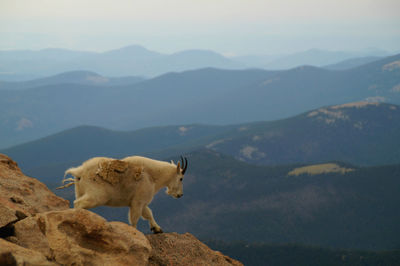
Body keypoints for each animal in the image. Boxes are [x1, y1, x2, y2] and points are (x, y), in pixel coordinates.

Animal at [57, 155, 188, 234]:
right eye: (181, 178)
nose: (180, 195)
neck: (153, 176)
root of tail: (79, 172)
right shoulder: (138, 201)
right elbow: (134, 218)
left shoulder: (141, 202)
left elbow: (148, 213)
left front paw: (157, 229)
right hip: (96, 196)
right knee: (78, 203)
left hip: (79, 191)